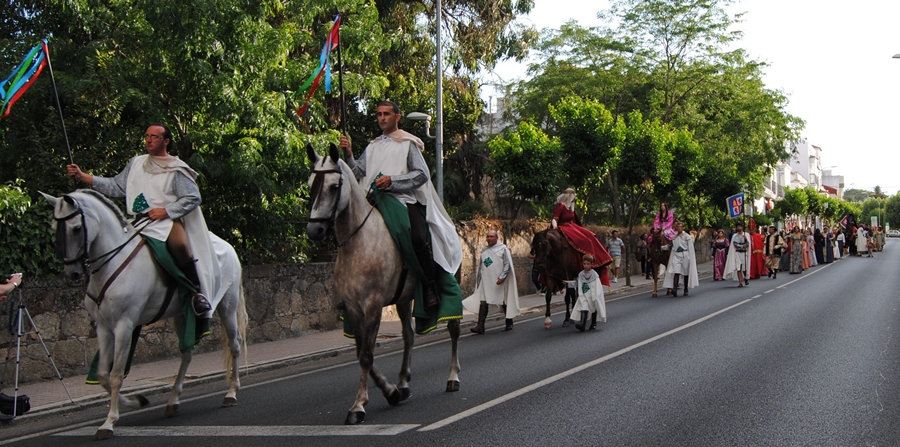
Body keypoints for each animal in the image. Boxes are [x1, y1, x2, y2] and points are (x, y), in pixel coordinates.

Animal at [41, 190, 246, 440]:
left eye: (76, 228)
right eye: (54, 227)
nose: (72, 273)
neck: (113, 263)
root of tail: (227, 246)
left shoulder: (124, 326)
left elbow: (116, 374)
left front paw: (109, 422)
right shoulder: (103, 327)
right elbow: (103, 374)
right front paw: (135, 401)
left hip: (227, 305)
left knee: (234, 345)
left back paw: (232, 393)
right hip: (181, 315)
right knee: (187, 353)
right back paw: (173, 400)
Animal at [308, 144, 464, 428]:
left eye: (334, 187)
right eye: (310, 183)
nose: (314, 231)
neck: (359, 241)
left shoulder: (373, 304)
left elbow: (367, 355)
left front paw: (358, 406)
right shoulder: (353, 307)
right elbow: (361, 351)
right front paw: (391, 391)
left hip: (451, 281)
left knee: (454, 329)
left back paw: (453, 377)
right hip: (403, 298)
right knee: (409, 334)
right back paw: (403, 382)